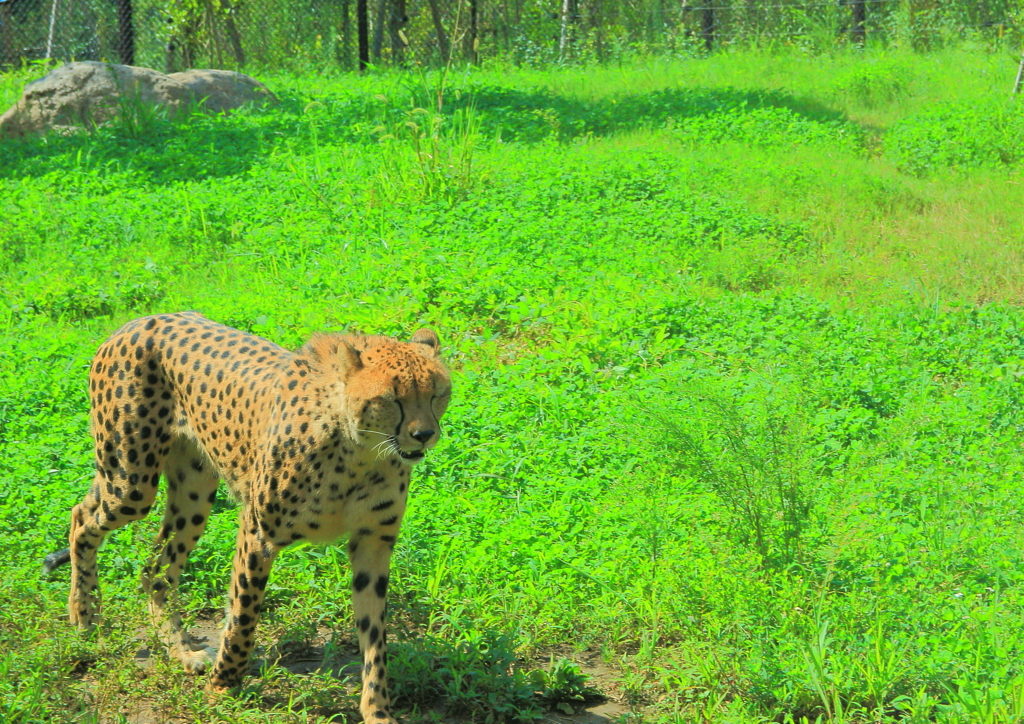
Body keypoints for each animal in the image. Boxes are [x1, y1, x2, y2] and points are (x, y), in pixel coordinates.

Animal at [44, 313, 452, 724]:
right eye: (391, 398)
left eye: (438, 393)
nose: (424, 434)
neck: (360, 451)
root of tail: (141, 320)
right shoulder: (258, 533)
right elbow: (243, 614)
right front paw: (223, 687)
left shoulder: (373, 542)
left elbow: (374, 638)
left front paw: (377, 710)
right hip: (132, 483)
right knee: (81, 519)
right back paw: (84, 614)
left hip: (193, 495)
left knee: (155, 570)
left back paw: (182, 652)